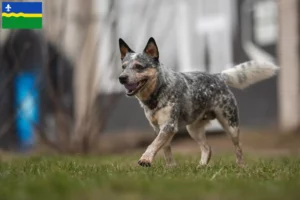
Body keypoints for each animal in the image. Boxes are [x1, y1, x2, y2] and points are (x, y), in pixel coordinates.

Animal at [118, 36, 278, 167]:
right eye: (123, 67)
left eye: (138, 66)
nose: (121, 78)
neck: (157, 91)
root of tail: (218, 76)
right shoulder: (158, 128)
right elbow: (164, 147)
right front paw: (171, 167)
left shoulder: (169, 125)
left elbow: (153, 144)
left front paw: (145, 159)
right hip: (193, 129)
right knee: (208, 148)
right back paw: (201, 167)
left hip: (231, 125)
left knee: (238, 147)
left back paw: (241, 167)